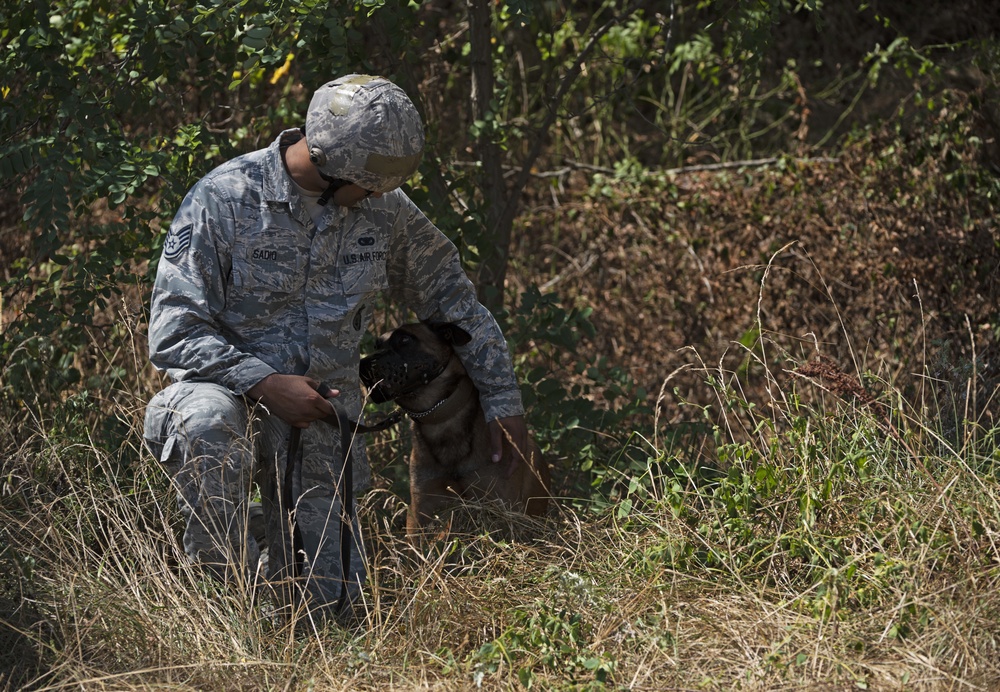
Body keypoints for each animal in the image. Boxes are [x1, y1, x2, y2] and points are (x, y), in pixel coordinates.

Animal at [360, 322, 552, 532]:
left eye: (405, 339)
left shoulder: (502, 507)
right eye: (377, 345)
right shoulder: (420, 509)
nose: (362, 366)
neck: (441, 419)